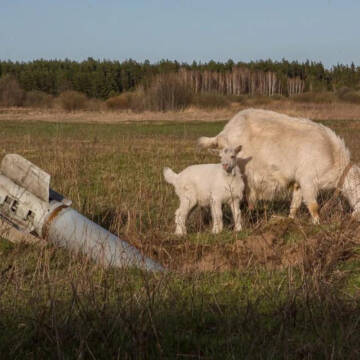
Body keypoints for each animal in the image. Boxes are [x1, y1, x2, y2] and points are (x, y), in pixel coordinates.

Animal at [197, 108, 360, 224]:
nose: (356, 218)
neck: (332, 155)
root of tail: (225, 131)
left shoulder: (299, 182)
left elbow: (295, 203)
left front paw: (290, 219)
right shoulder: (308, 179)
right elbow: (314, 206)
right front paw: (317, 223)